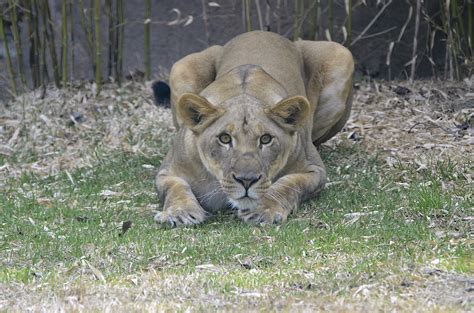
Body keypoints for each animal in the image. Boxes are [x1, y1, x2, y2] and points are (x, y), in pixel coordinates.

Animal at [154, 30, 354, 225]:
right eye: (224, 138)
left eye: (265, 139)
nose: (246, 180)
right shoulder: (168, 171)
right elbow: (175, 188)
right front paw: (180, 213)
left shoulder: (314, 169)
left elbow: (290, 184)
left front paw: (262, 210)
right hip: (181, 67)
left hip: (341, 54)